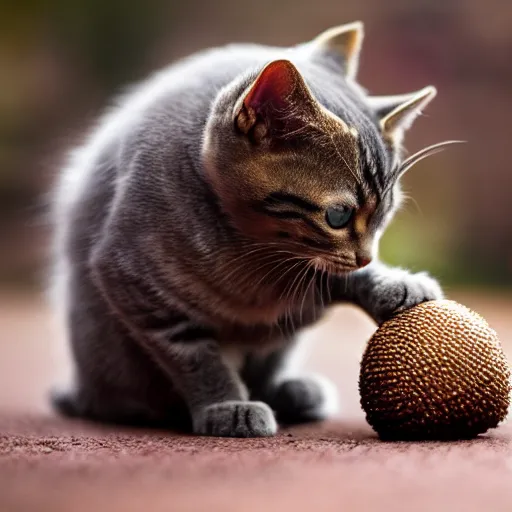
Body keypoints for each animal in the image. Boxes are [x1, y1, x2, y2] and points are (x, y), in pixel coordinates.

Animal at [50, 20, 448, 436]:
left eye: (385, 213)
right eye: (338, 216)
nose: (366, 257)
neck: (254, 257)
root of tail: (82, 388)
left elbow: (330, 277)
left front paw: (392, 283)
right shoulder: (133, 281)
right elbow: (197, 357)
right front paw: (227, 404)